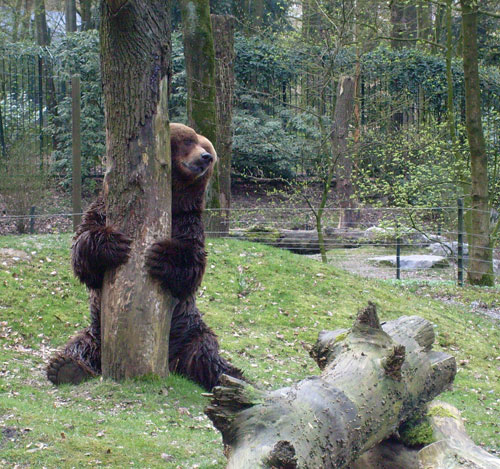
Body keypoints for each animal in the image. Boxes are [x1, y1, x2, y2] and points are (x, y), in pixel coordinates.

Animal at [47, 122, 243, 390]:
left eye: (208, 148)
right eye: (189, 140)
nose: (205, 158)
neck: (173, 199)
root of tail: (169, 360)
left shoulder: (187, 221)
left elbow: (192, 264)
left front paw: (161, 255)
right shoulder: (102, 209)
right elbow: (83, 246)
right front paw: (115, 244)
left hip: (188, 329)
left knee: (203, 352)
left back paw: (227, 374)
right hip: (98, 333)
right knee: (81, 345)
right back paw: (65, 367)